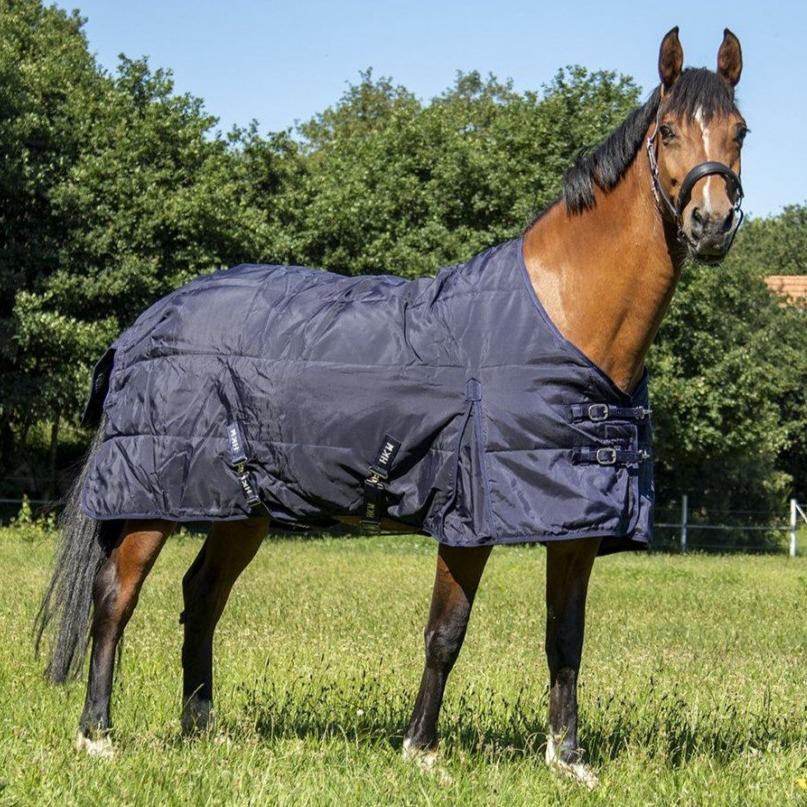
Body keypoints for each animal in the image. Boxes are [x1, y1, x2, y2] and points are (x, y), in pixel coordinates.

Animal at [35, 27, 746, 788]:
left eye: (739, 131)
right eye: (668, 131)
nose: (710, 224)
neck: (562, 316)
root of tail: (145, 322)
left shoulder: (576, 524)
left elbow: (565, 639)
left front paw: (569, 759)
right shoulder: (467, 518)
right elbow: (446, 632)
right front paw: (422, 750)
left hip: (240, 507)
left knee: (202, 596)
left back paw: (203, 729)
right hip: (154, 498)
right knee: (116, 597)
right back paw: (98, 734)